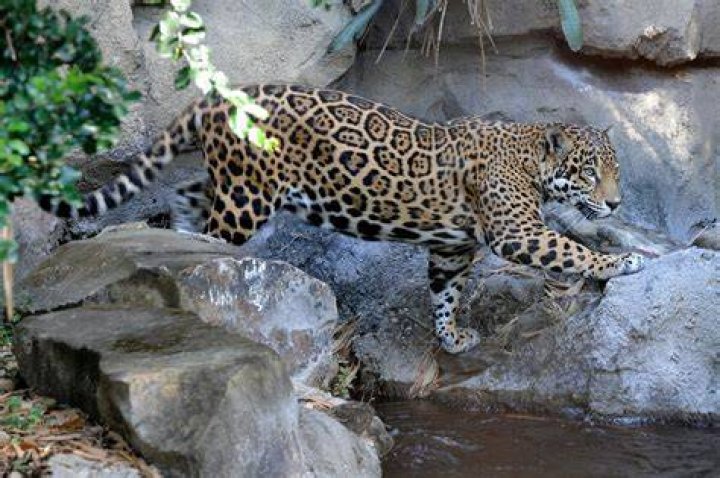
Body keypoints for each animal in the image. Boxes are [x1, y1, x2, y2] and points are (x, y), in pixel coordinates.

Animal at [40, 84, 645, 354]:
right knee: (216, 227)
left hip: (234, 185)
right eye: (590, 173)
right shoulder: (518, 231)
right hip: (248, 197)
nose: (616, 204)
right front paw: (622, 261)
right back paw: (197, 264)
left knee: (191, 193)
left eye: (618, 172)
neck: (530, 159)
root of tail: (214, 99)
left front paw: (451, 337)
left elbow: (445, 292)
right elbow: (571, 248)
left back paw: (179, 242)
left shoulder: (451, 249)